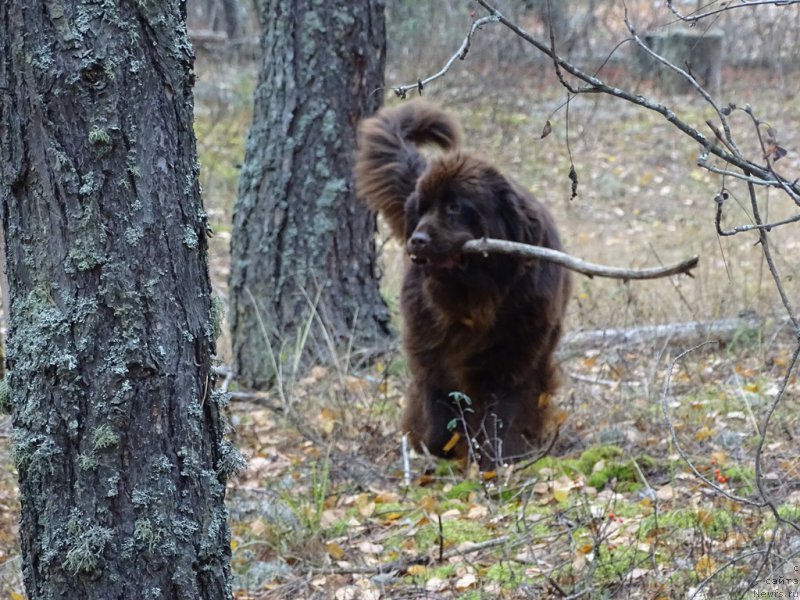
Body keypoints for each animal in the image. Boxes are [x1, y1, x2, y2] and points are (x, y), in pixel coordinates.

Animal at [354, 101, 568, 468]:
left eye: (454, 206)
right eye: (421, 209)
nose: (417, 240)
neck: (476, 300)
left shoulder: (514, 353)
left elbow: (504, 409)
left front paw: (499, 458)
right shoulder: (431, 349)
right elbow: (438, 401)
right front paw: (439, 452)